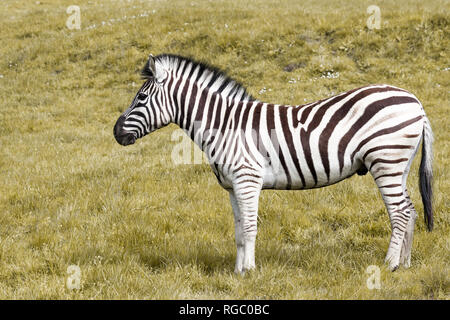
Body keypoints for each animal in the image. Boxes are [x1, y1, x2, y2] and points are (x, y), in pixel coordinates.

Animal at [114, 53, 434, 274]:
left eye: (141, 97)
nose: (116, 133)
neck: (224, 125)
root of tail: (415, 101)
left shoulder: (247, 179)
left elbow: (250, 227)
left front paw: (249, 271)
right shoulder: (233, 187)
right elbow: (238, 231)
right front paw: (237, 272)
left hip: (386, 161)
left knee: (400, 213)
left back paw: (389, 264)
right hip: (399, 165)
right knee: (410, 210)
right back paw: (405, 264)